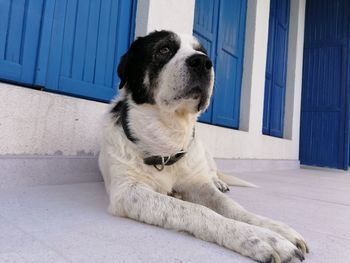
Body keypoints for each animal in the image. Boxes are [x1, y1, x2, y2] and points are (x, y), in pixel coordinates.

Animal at [97, 31, 308, 263]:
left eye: (202, 51)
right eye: (164, 49)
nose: (203, 63)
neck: (167, 144)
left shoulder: (198, 184)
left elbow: (231, 206)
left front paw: (276, 228)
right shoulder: (127, 192)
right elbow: (196, 210)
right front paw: (258, 237)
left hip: (205, 155)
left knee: (212, 173)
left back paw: (219, 182)